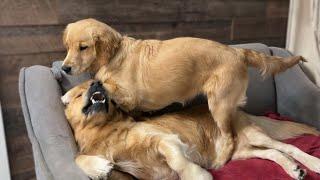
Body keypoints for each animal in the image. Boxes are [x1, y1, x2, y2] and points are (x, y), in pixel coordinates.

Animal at [62, 18, 304, 166]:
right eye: (68, 47)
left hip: (219, 105)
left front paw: (73, 93)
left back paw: (221, 159)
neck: (115, 55)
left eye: (83, 47)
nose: (64, 68)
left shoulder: (128, 95)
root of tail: (238, 51)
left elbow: (101, 86)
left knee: (230, 137)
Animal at [63, 80, 318, 180]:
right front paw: (98, 167)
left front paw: (196, 175)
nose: (97, 82)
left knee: (287, 147)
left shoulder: (164, 139)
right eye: (78, 93)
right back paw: (294, 169)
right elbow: (77, 157)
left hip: (254, 135)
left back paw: (312, 163)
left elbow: (178, 161)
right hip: (240, 152)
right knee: (274, 153)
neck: (107, 130)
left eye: (91, 85)